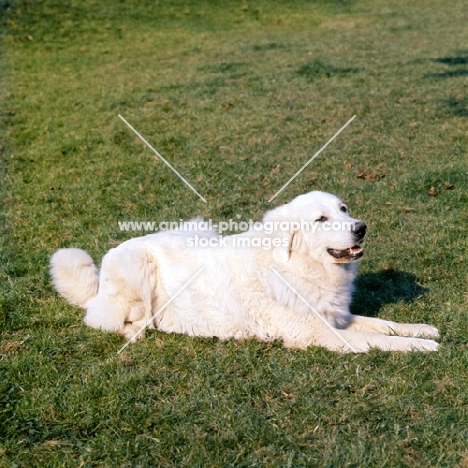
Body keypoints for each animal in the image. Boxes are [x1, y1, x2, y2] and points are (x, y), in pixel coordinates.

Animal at [49, 192, 440, 352]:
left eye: (344, 209)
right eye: (322, 219)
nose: (361, 227)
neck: (296, 268)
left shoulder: (336, 318)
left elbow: (383, 324)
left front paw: (423, 330)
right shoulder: (318, 334)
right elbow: (382, 340)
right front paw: (423, 347)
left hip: (200, 229)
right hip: (136, 268)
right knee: (104, 319)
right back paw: (138, 331)